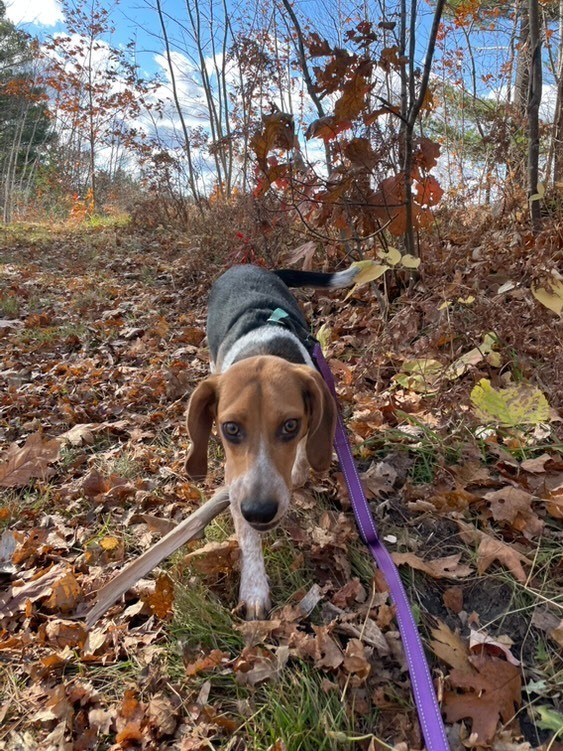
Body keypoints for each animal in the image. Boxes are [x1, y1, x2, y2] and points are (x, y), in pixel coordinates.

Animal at [187, 262, 360, 616]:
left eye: (290, 425)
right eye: (230, 429)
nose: (259, 511)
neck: (264, 347)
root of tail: (246, 265)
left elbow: (304, 455)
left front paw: (298, 471)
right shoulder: (236, 480)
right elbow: (248, 539)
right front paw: (254, 590)